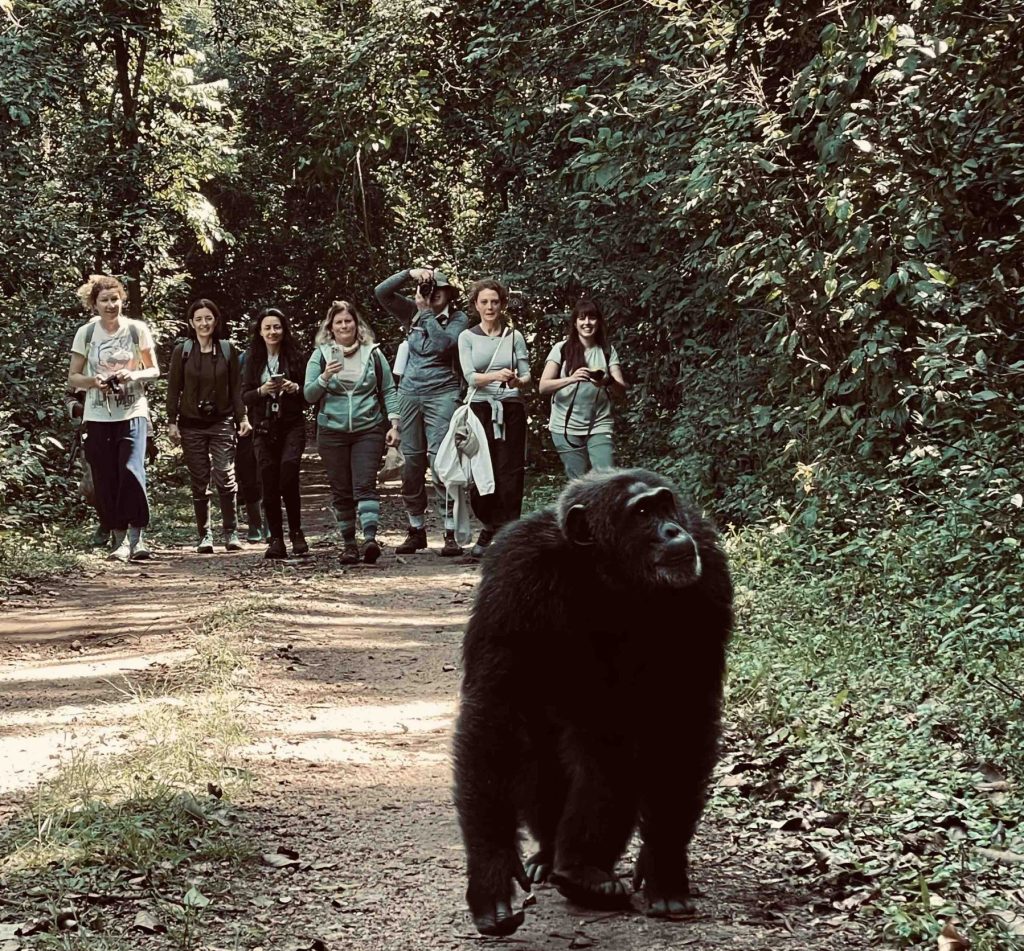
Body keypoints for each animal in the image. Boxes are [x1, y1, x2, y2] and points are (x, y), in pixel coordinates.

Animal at [453, 468, 733, 936]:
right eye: (642, 512)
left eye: (665, 505)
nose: (673, 530)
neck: (604, 571)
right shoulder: (514, 569)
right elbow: (495, 705)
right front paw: (492, 875)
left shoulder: (707, 576)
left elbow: (683, 712)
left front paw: (663, 866)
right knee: (546, 754)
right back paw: (556, 859)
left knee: (610, 754)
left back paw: (583, 872)